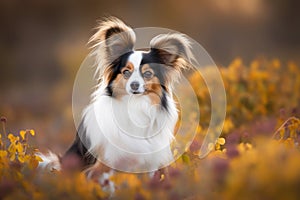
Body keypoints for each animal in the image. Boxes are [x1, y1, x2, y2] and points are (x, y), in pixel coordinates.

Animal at [39, 16, 195, 177]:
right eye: (126, 72)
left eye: (147, 74)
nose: (134, 85)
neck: (135, 105)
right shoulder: (108, 161)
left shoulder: (150, 163)